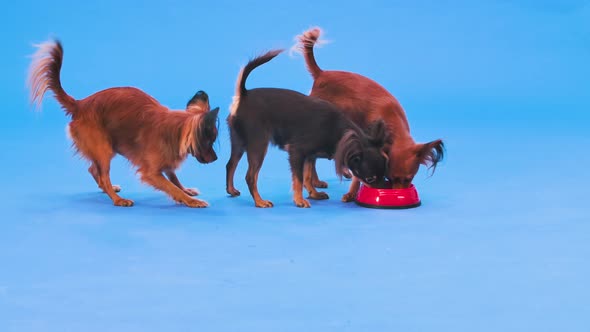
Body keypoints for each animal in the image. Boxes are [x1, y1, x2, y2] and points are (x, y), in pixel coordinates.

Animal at [28, 40, 221, 208]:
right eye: (209, 141)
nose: (216, 159)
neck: (175, 131)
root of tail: (80, 104)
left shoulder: (165, 163)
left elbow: (175, 180)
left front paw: (187, 191)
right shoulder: (151, 172)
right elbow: (172, 187)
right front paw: (190, 201)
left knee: (94, 170)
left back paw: (110, 191)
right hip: (104, 149)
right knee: (103, 176)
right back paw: (117, 199)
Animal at [225, 49, 388, 208]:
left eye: (384, 173)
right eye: (370, 178)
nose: (383, 190)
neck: (336, 129)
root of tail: (243, 95)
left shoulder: (309, 156)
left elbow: (307, 177)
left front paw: (314, 193)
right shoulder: (297, 153)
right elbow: (298, 179)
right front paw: (299, 200)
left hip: (238, 143)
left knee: (230, 164)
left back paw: (232, 190)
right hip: (258, 146)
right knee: (250, 176)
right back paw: (260, 201)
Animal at [298, 27, 446, 201]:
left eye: (409, 179)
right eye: (390, 178)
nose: (397, 193)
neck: (392, 121)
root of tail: (321, 73)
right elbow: (359, 175)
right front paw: (351, 194)